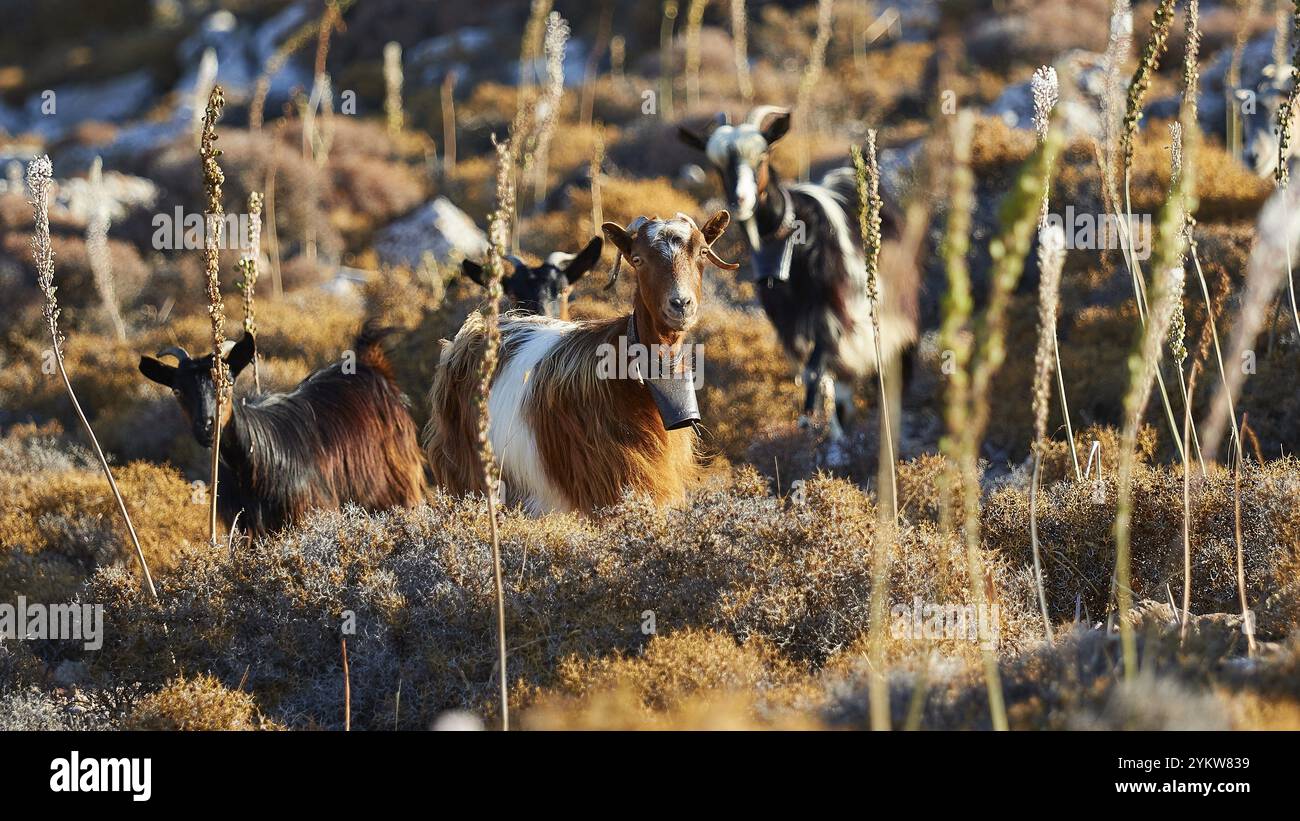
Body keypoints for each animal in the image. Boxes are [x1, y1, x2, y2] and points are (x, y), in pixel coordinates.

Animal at [138, 326, 427, 537]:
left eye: (228, 383)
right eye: (178, 390)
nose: (207, 427)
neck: (256, 462)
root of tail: (372, 366)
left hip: (397, 486)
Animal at [679, 106, 920, 440]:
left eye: (763, 156)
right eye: (717, 164)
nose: (740, 200)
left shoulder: (833, 312)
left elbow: (816, 366)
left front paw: (810, 418)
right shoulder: (788, 320)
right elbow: (816, 370)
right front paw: (823, 422)